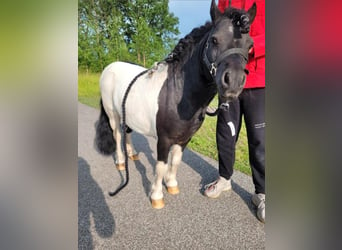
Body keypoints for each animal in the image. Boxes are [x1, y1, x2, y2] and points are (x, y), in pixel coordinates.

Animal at [95, 0, 255, 208]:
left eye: (250, 46)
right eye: (214, 40)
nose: (234, 82)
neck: (178, 94)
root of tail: (110, 66)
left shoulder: (185, 138)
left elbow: (176, 161)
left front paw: (171, 185)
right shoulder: (164, 140)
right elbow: (160, 166)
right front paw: (156, 196)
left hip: (126, 114)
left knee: (127, 133)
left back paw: (132, 154)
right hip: (112, 114)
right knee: (117, 135)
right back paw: (122, 162)